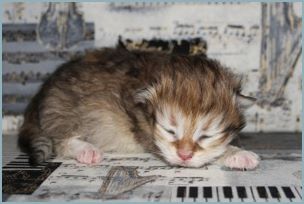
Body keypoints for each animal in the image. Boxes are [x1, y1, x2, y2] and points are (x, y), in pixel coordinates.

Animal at [17, 47, 258, 169]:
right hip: (62, 110)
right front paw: (237, 154)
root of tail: (39, 97)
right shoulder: (148, 134)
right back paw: (86, 150)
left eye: (206, 136)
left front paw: (236, 151)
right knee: (60, 141)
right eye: (170, 131)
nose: (184, 155)